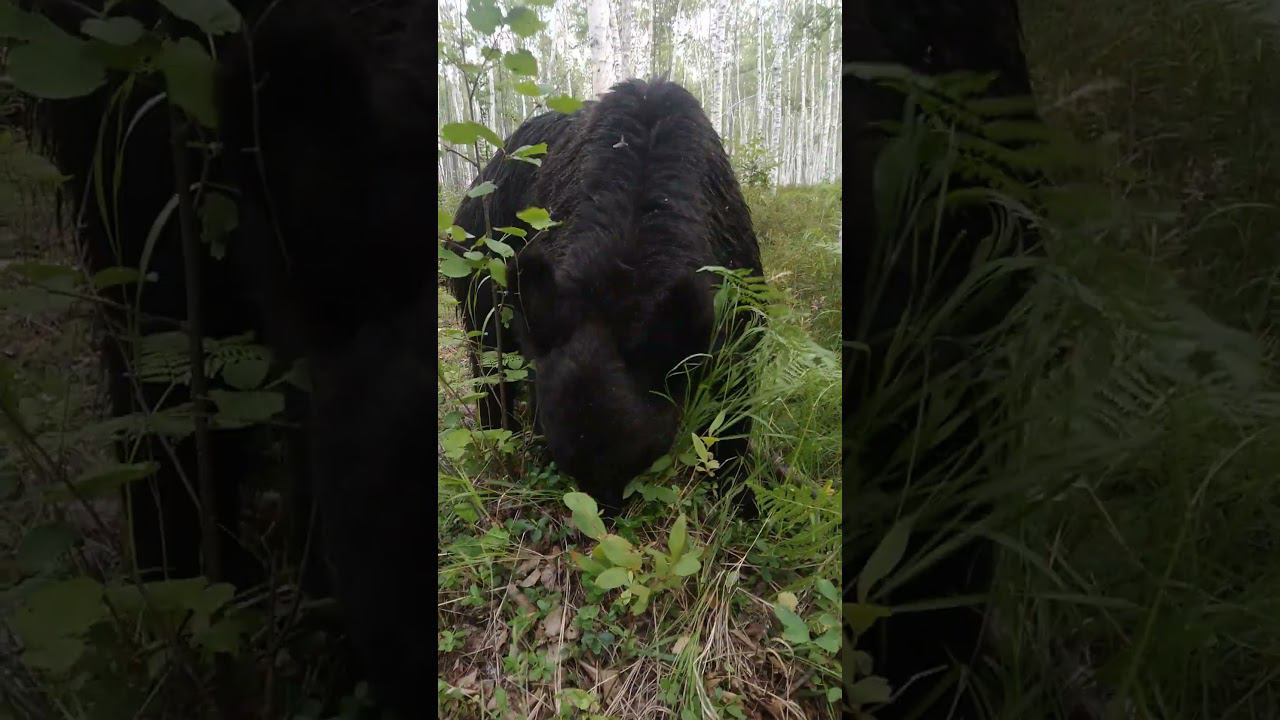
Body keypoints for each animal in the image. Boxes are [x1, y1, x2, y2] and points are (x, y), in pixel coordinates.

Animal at [447, 78, 765, 515]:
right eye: (569, 468)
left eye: (638, 461)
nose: (602, 519)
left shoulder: (739, 323)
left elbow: (733, 420)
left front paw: (742, 502)